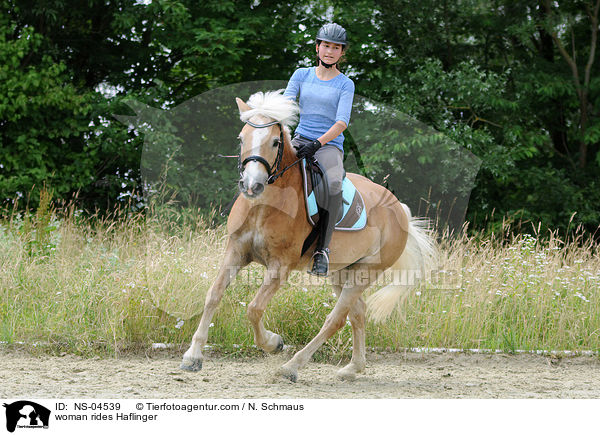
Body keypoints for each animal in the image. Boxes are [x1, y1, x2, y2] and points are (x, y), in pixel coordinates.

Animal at [179, 89, 436, 382]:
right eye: (241, 139)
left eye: (275, 142)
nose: (252, 185)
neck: (263, 206)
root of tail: (399, 209)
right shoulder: (235, 252)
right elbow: (213, 295)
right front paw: (192, 356)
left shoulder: (280, 267)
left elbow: (254, 308)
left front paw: (274, 343)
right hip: (342, 272)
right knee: (357, 313)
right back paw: (353, 368)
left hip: (366, 272)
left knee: (335, 320)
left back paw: (291, 366)